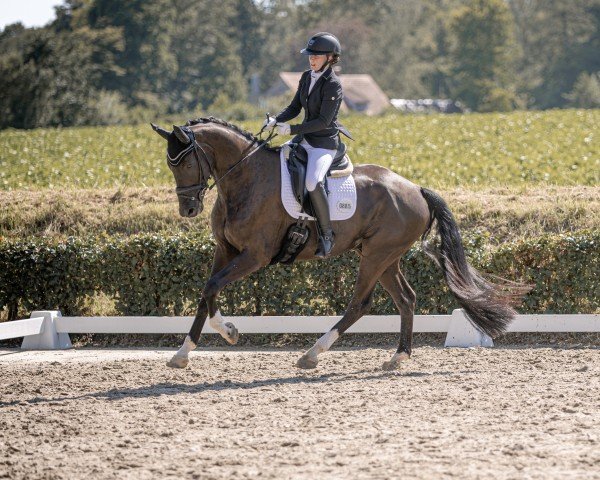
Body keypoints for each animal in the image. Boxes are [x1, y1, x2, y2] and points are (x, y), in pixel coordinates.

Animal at [150, 117, 524, 372]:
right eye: (169, 163)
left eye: (185, 161)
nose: (188, 209)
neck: (246, 180)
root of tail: (416, 189)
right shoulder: (225, 250)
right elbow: (207, 290)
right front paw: (187, 351)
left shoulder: (254, 255)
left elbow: (212, 286)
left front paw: (227, 332)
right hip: (385, 257)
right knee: (406, 298)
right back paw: (398, 357)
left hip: (376, 256)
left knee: (360, 303)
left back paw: (312, 354)